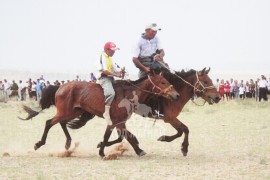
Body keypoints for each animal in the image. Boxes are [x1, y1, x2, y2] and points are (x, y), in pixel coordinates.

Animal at [19, 73, 179, 156]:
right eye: (163, 82)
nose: (176, 95)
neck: (127, 95)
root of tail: (60, 87)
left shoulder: (120, 122)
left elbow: (124, 136)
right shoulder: (114, 121)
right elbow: (114, 136)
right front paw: (102, 150)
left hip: (73, 112)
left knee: (61, 123)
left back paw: (68, 143)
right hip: (65, 112)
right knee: (49, 123)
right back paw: (39, 144)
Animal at [92, 67, 220, 156]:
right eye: (206, 81)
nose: (218, 97)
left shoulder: (171, 118)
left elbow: (182, 131)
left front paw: (166, 139)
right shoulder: (170, 118)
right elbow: (184, 130)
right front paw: (184, 148)